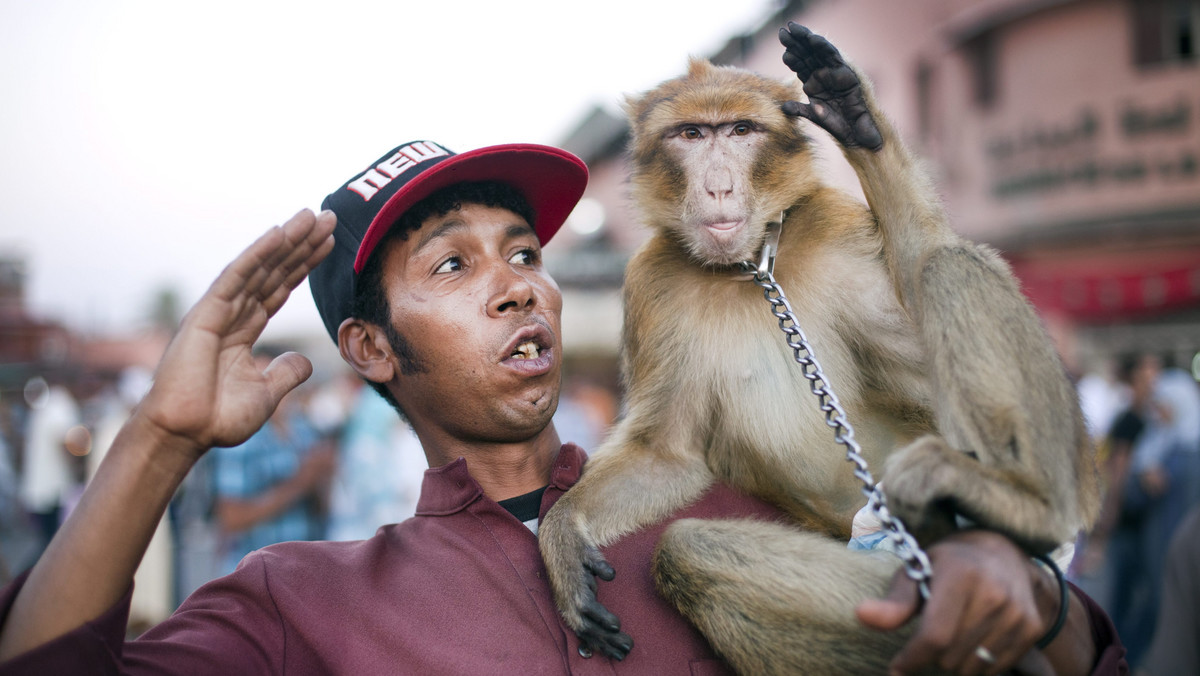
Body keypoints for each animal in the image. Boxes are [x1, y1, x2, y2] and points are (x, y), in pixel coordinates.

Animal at [540, 23, 1099, 672]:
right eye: (691, 134)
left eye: (740, 131)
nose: (718, 185)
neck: (752, 268)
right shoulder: (652, 286)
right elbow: (665, 454)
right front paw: (562, 531)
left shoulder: (834, 231)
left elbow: (923, 281)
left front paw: (854, 114)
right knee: (690, 552)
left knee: (947, 264)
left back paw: (1028, 505)